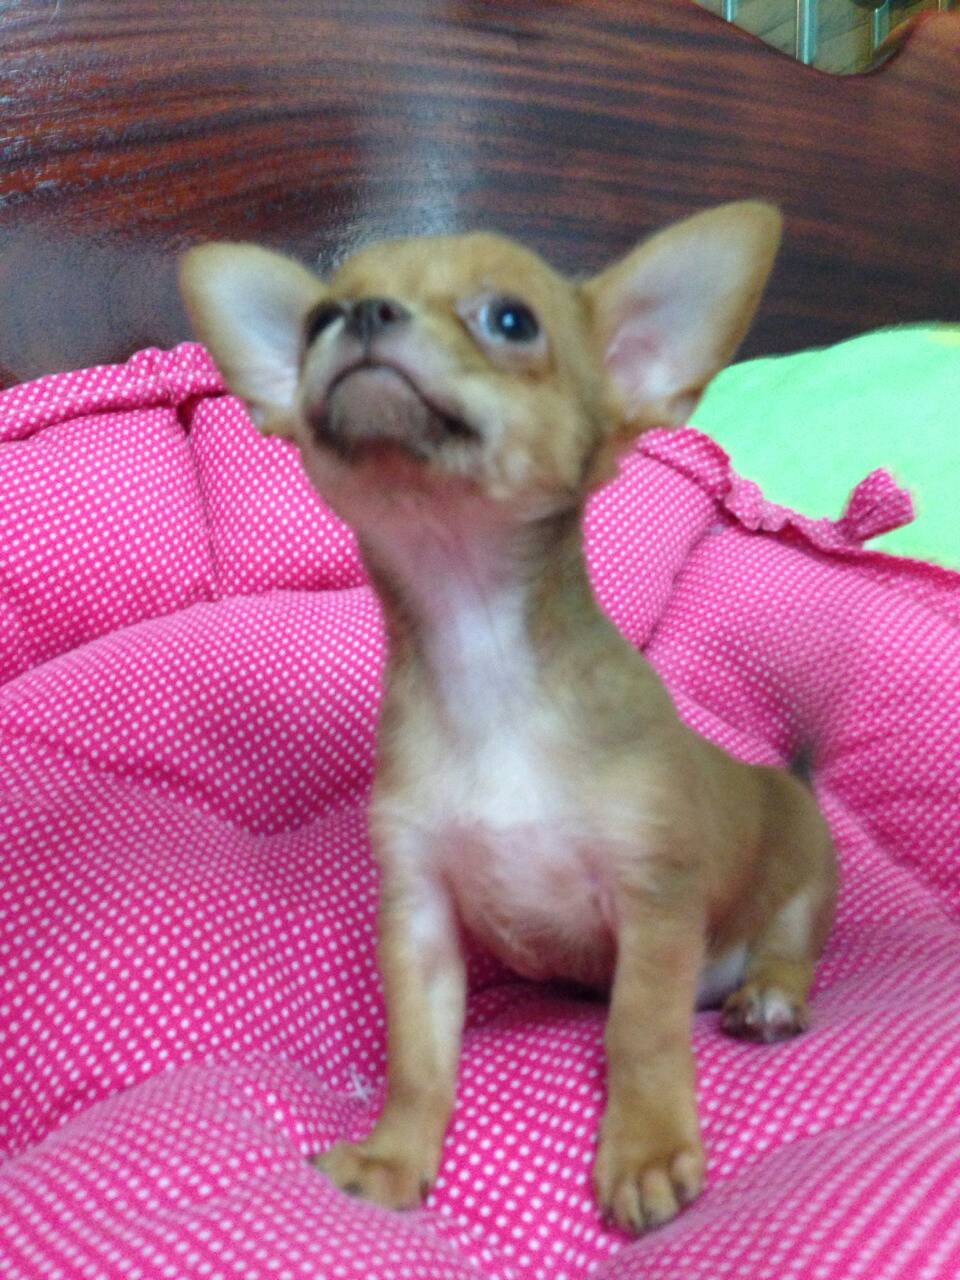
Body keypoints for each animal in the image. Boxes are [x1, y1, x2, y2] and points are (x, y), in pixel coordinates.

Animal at [180, 202, 837, 1233]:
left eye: (513, 322)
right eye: (316, 318)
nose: (359, 314)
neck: (481, 645)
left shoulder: (654, 903)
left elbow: (640, 1036)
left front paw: (647, 1152)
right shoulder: (418, 918)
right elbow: (418, 1060)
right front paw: (394, 1155)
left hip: (806, 884)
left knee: (786, 952)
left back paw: (767, 997)